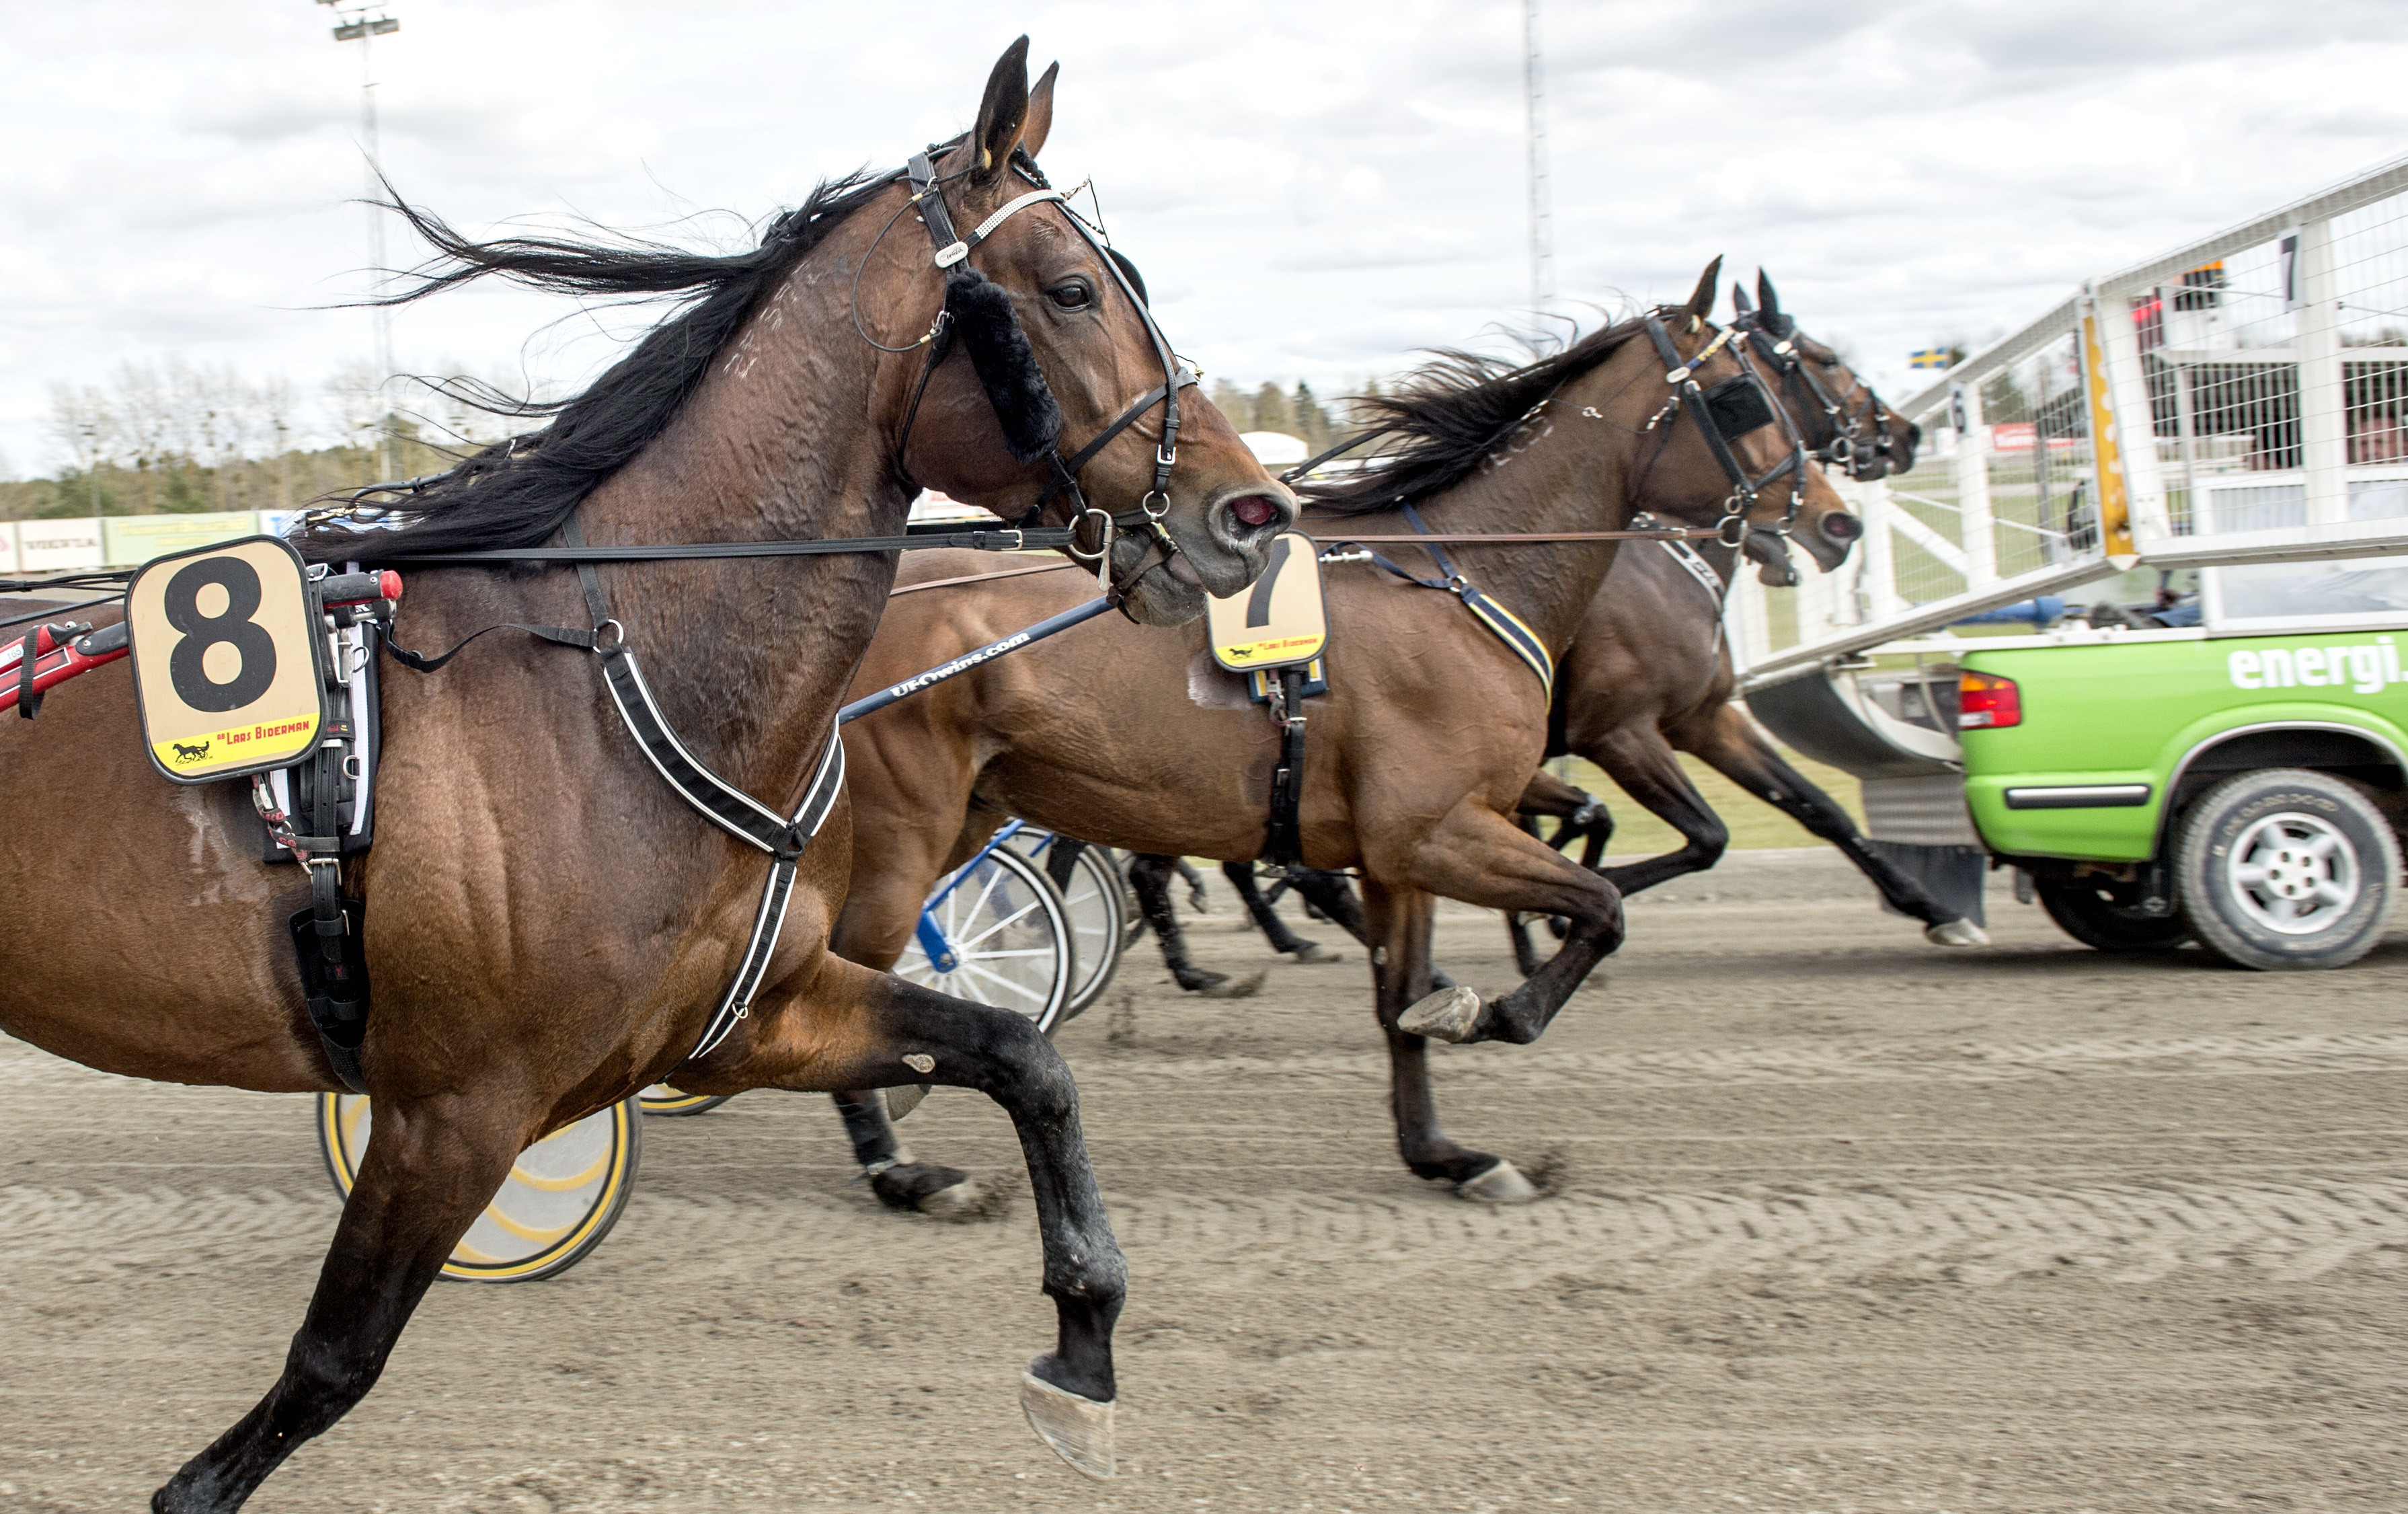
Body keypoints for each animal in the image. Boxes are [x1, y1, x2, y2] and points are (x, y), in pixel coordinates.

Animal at [0, 41, 1300, 1502]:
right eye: (1074, 289)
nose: (1254, 512)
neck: (607, 685)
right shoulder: (452, 1109)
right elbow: (335, 1363)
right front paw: (191, 1484)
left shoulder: (753, 1013)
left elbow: (1026, 1057)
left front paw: (1079, 1339)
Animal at [818, 262, 1849, 1203]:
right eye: (1747, 395)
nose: (1836, 522)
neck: (1464, 580)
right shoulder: (1437, 828)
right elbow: (1600, 905)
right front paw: (1494, 1009)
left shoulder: (1399, 855)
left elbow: (1401, 997)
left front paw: (1445, 1150)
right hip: (905, 833)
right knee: (838, 969)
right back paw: (899, 1167)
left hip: (971, 811)